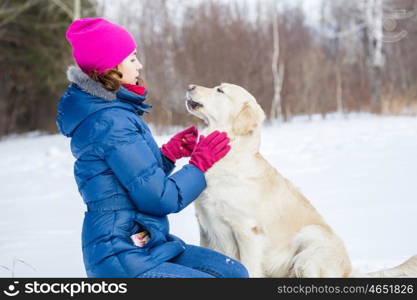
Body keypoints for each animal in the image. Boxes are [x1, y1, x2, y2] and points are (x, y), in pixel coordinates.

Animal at [185, 83, 416, 278]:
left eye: (220, 90)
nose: (189, 86)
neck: (228, 155)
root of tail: (348, 271)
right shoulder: (205, 227)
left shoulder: (247, 231)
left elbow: (249, 267)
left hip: (310, 239)